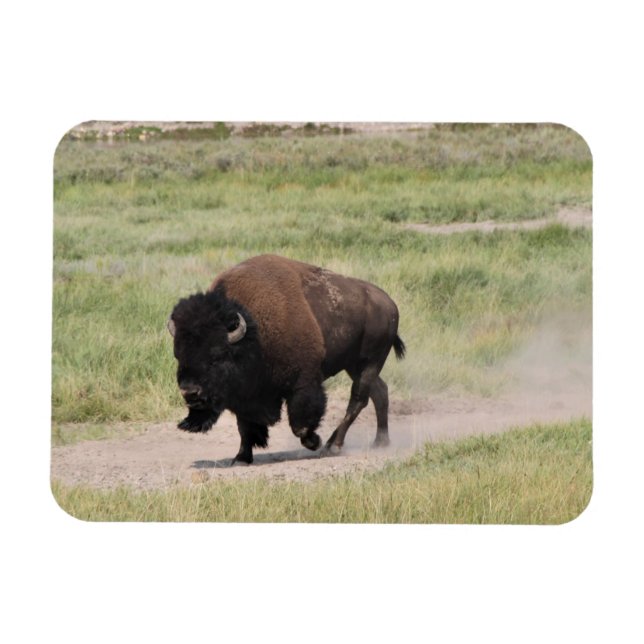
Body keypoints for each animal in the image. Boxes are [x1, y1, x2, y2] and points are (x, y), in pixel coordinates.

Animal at [168, 254, 405, 464]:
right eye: (178, 355)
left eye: (216, 356)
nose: (190, 392)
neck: (254, 334)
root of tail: (390, 304)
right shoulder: (245, 395)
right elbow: (244, 426)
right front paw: (241, 458)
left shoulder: (303, 382)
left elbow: (299, 423)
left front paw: (314, 441)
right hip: (354, 365)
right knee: (380, 392)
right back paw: (380, 442)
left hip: (369, 363)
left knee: (358, 399)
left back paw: (332, 445)